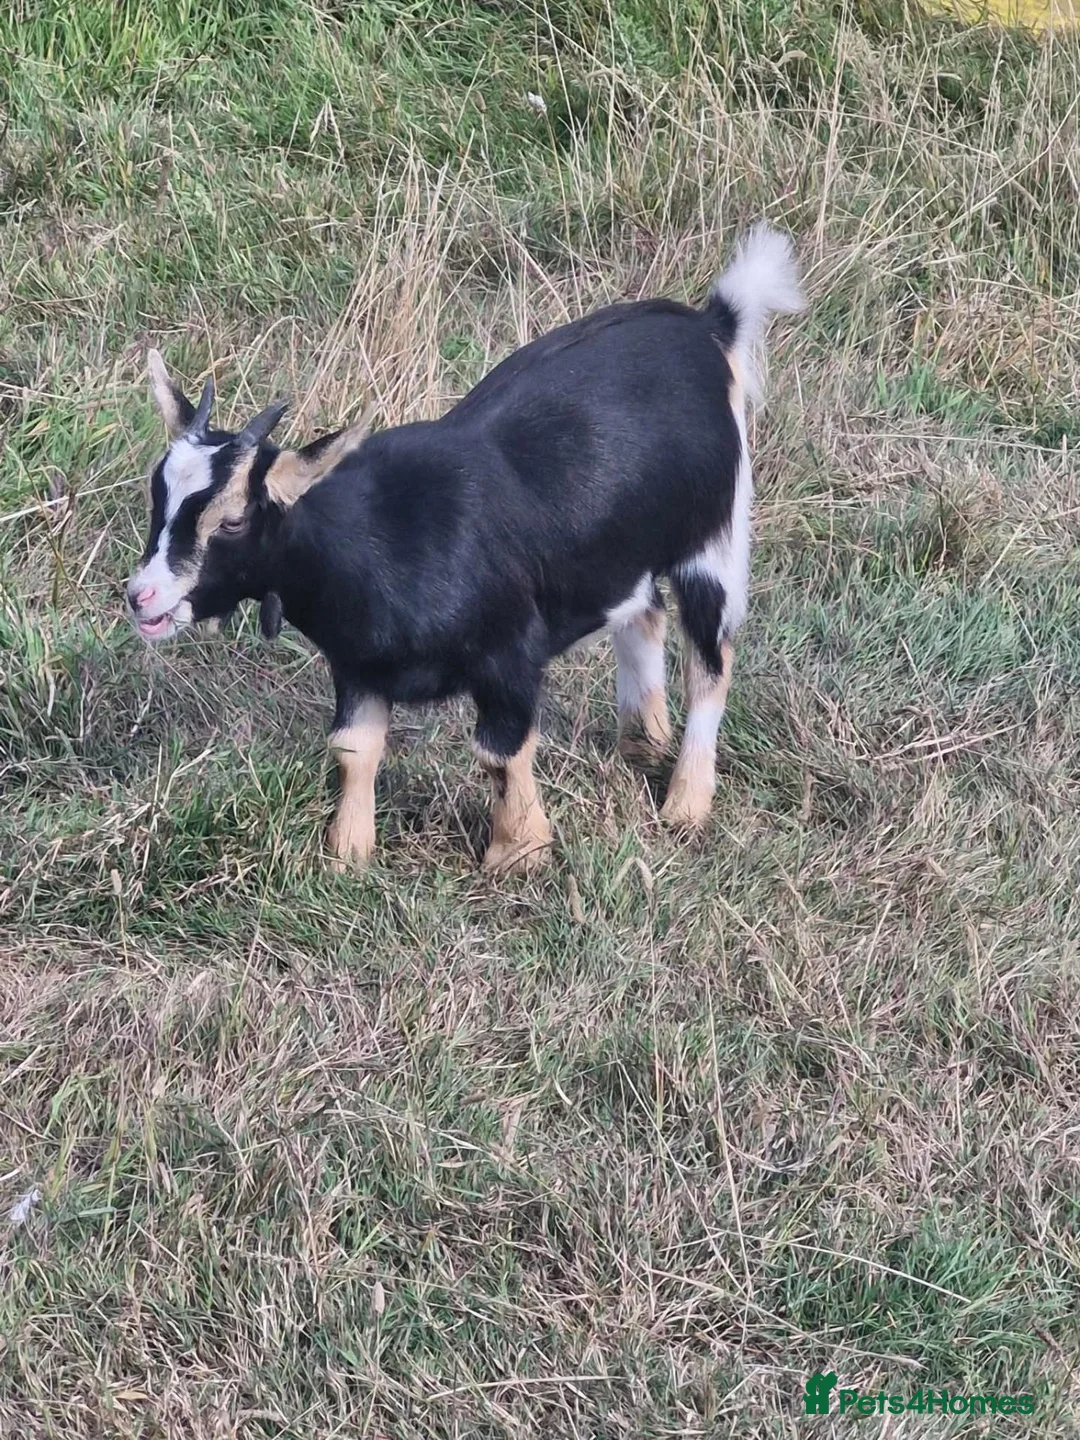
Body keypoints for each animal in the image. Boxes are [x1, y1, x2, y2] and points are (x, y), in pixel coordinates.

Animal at [126, 224, 804, 874]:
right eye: (156, 492)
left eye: (233, 521)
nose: (141, 595)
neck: (384, 537)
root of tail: (712, 325)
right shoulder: (358, 665)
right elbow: (353, 748)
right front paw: (347, 856)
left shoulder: (510, 653)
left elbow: (500, 751)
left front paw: (518, 854)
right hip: (620, 553)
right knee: (644, 611)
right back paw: (642, 743)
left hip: (712, 534)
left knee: (710, 658)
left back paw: (685, 804)